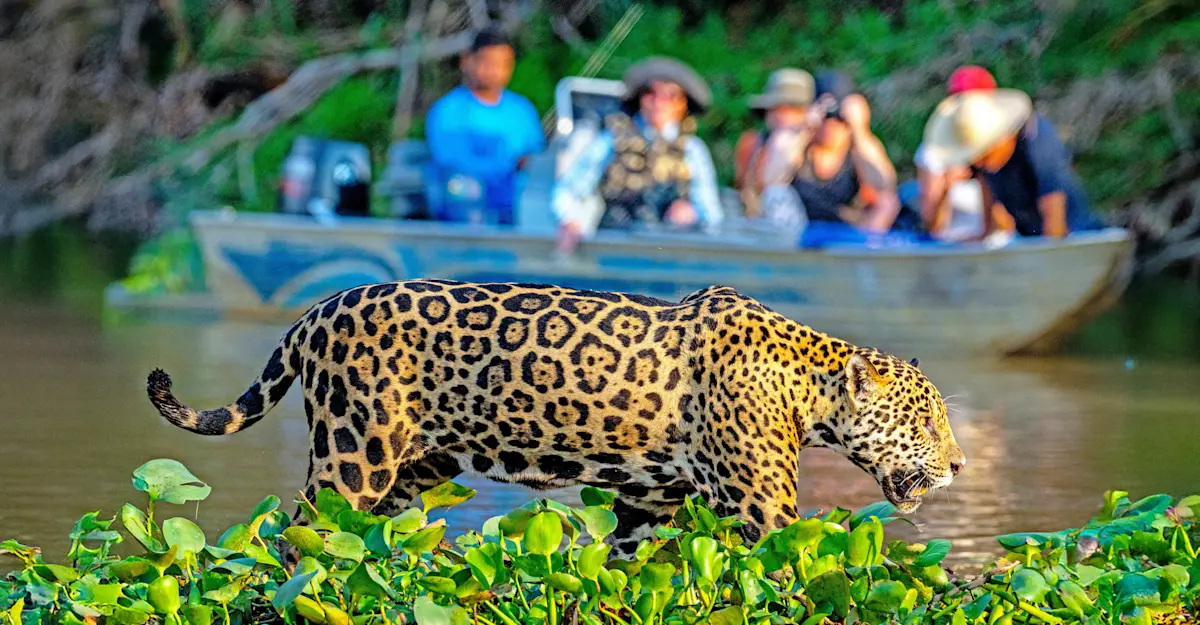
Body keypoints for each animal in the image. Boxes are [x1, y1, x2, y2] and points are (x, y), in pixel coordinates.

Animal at [146, 280, 965, 558]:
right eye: (926, 423)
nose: (958, 464)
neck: (808, 384)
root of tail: (319, 308)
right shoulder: (764, 508)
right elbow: (801, 563)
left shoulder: (647, 501)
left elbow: (628, 564)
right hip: (355, 453)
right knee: (297, 534)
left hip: (414, 469)